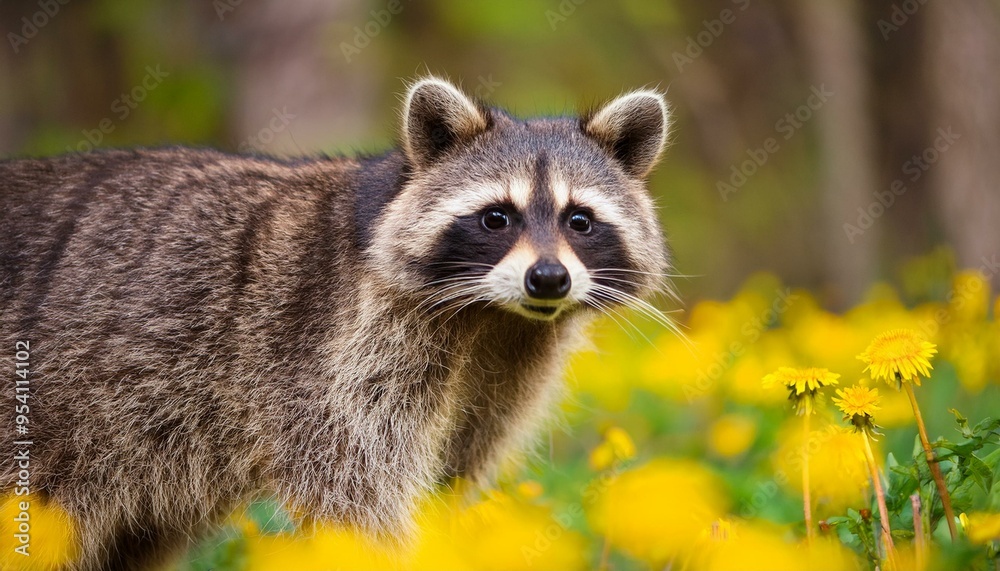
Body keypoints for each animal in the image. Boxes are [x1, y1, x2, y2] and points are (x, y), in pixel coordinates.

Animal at [0, 77, 672, 570]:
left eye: (579, 220)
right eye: (496, 217)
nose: (548, 279)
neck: (491, 317)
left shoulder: (509, 365)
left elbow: (453, 471)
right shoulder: (333, 348)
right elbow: (355, 489)